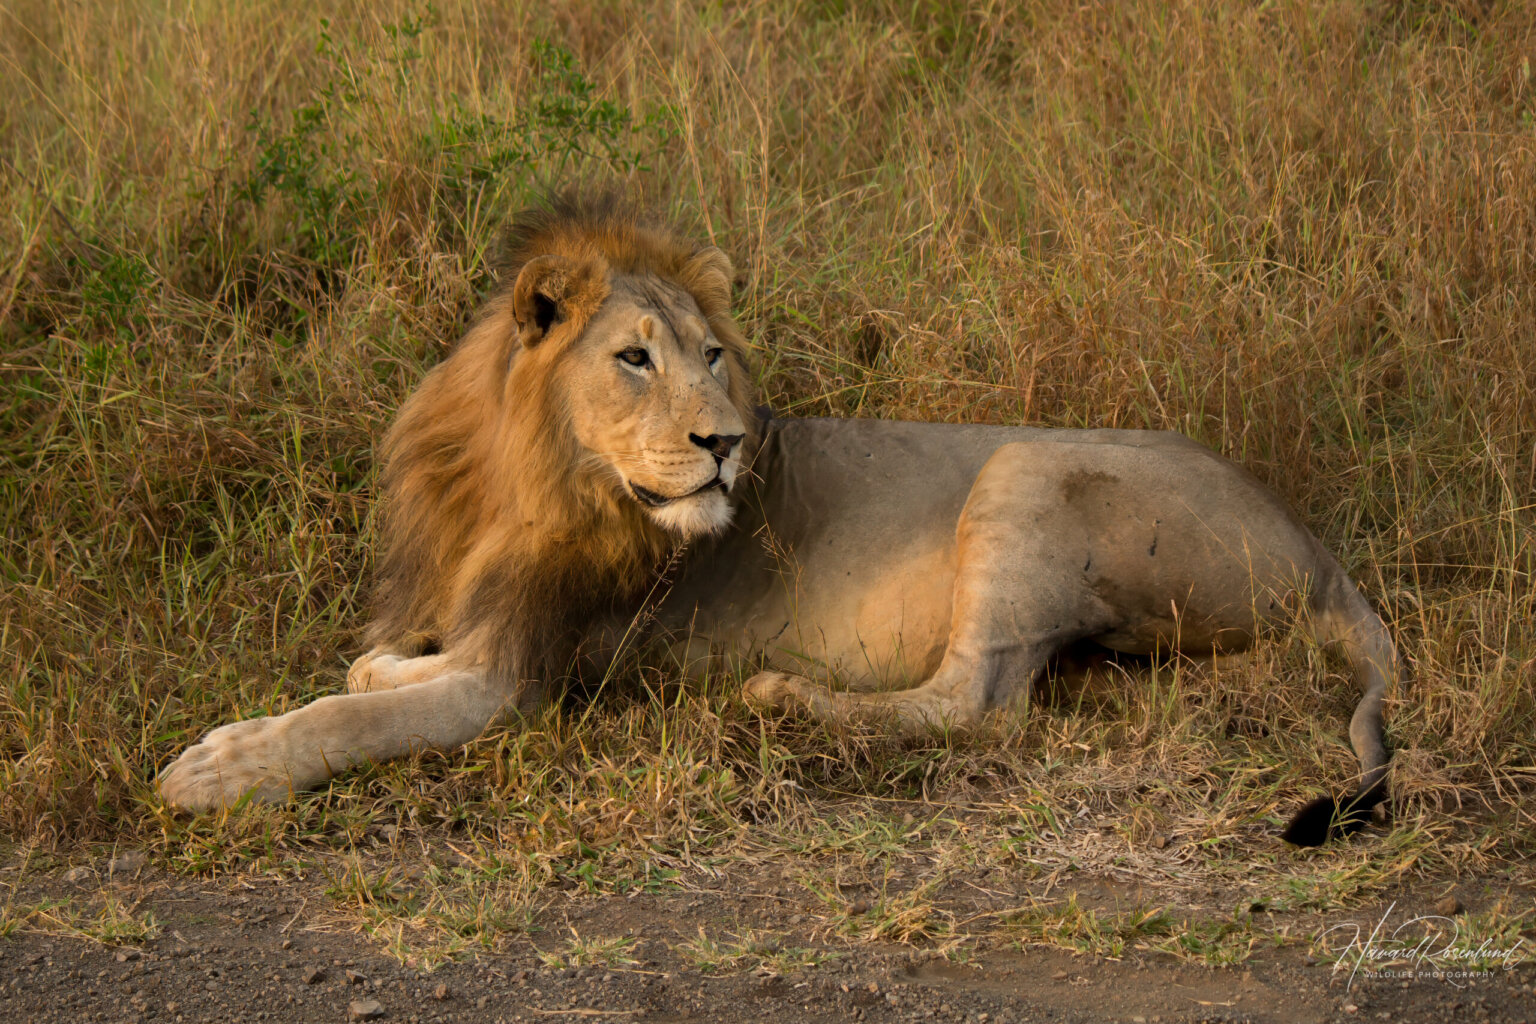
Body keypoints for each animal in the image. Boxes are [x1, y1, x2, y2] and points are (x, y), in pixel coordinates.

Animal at [159, 194, 1396, 846]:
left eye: (713, 355)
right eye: (634, 358)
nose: (727, 442)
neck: (528, 477)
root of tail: (1322, 549)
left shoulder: (519, 683)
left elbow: (347, 714)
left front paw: (223, 765)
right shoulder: (493, 627)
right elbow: (380, 667)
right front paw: (373, 666)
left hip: (1025, 470)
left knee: (975, 703)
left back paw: (782, 698)